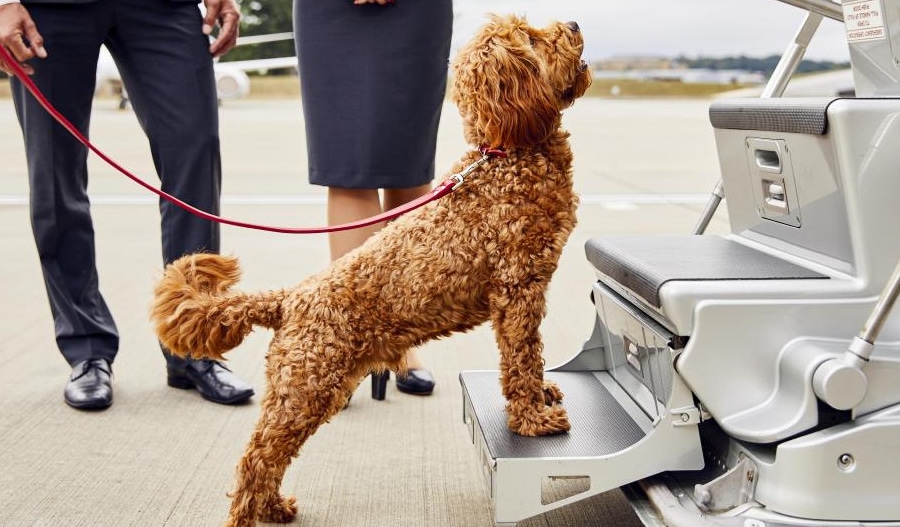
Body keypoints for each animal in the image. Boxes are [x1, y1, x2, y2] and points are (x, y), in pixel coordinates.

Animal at [152, 13, 596, 527]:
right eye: (530, 39)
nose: (574, 22)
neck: (507, 158)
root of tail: (289, 298)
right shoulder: (517, 286)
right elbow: (522, 358)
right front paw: (532, 420)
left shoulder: (527, 289)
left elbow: (532, 354)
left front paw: (542, 395)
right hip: (307, 383)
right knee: (256, 457)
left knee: (269, 457)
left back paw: (273, 506)